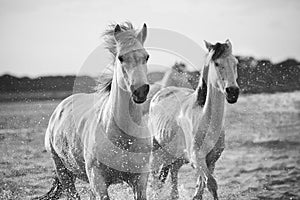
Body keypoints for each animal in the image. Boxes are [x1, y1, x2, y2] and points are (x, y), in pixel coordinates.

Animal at [36, 22, 151, 199]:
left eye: (146, 56)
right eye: (120, 58)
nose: (140, 90)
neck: (123, 138)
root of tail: (59, 109)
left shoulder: (140, 179)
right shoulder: (98, 180)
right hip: (64, 173)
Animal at [149, 39, 239, 199]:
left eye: (235, 62)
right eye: (217, 63)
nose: (233, 92)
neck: (204, 118)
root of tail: (160, 93)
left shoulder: (211, 160)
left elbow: (201, 190)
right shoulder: (197, 159)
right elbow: (211, 184)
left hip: (176, 159)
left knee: (173, 181)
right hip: (156, 151)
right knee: (155, 183)